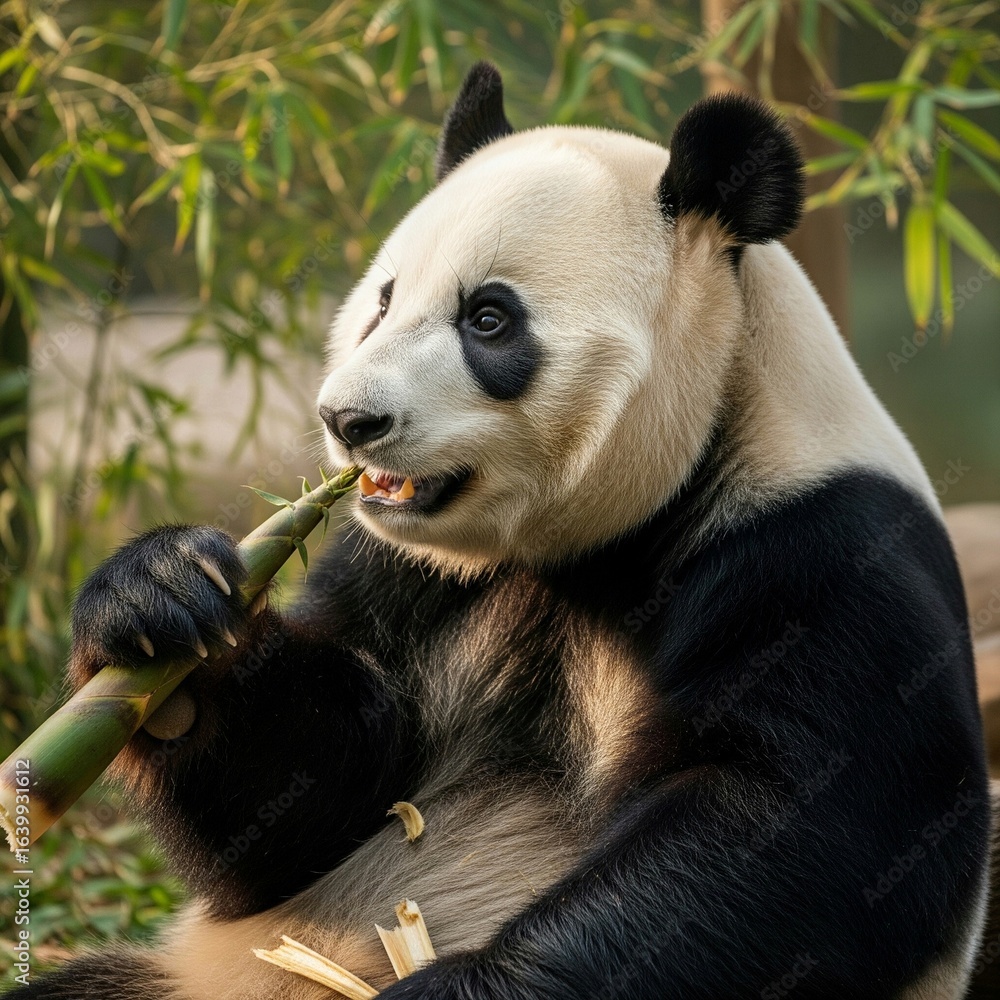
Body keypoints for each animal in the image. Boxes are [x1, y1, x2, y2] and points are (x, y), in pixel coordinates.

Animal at [13, 62, 994, 1000]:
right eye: (382, 302)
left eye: (488, 318)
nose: (349, 420)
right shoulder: (406, 570)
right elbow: (309, 802)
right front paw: (162, 602)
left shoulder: (820, 555)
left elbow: (784, 830)